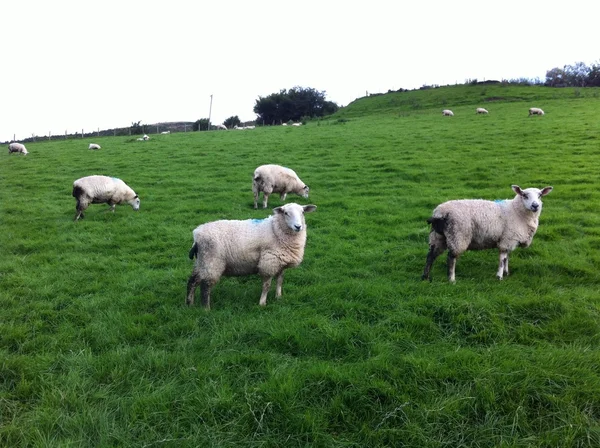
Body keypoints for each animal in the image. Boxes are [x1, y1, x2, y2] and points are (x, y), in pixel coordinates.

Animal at [188, 203, 318, 308]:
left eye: (302, 212)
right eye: (286, 213)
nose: (298, 226)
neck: (275, 229)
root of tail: (197, 235)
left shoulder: (280, 262)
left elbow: (280, 281)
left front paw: (278, 297)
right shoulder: (269, 262)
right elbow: (266, 285)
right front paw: (262, 303)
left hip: (202, 261)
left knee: (192, 280)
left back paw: (189, 303)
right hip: (212, 261)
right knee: (205, 286)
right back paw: (206, 309)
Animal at [422, 186, 552, 284]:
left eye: (540, 195)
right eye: (524, 195)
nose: (535, 206)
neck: (516, 211)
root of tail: (440, 213)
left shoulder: (509, 238)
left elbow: (507, 257)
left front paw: (506, 273)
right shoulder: (507, 239)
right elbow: (502, 258)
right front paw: (499, 276)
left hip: (438, 237)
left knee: (430, 256)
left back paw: (425, 277)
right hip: (458, 235)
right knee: (451, 258)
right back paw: (451, 279)